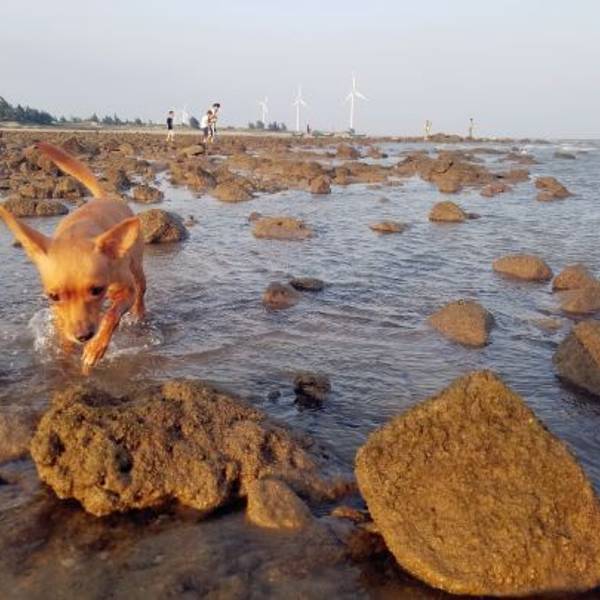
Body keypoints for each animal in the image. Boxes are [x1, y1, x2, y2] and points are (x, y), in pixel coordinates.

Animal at [0, 142, 146, 373]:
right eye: (53, 297)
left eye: (96, 290)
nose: (83, 336)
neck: (79, 233)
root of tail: (103, 196)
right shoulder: (62, 316)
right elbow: (65, 338)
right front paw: (66, 359)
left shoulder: (126, 291)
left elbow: (111, 316)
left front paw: (95, 348)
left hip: (137, 269)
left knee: (140, 293)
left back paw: (139, 315)